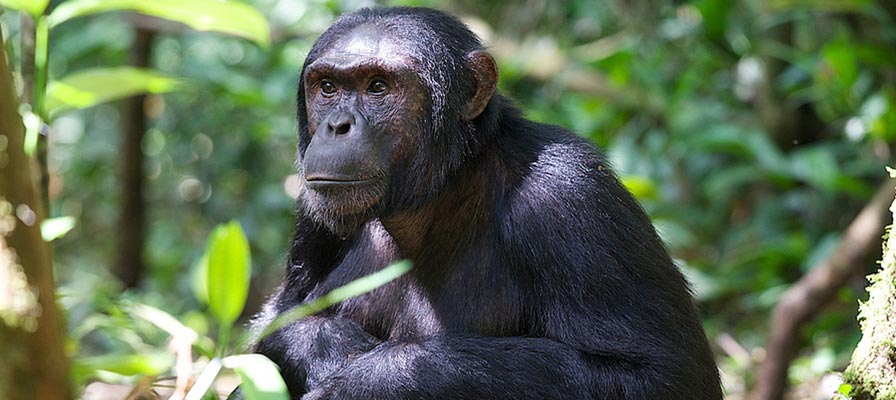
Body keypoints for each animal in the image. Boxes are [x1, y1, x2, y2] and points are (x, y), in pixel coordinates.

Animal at [250, 6, 720, 400]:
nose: (337, 125)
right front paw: (326, 345)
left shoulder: (572, 200)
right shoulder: (313, 218)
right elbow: (275, 321)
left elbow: (657, 374)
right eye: (328, 87)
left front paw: (380, 377)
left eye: (378, 86)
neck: (441, 192)